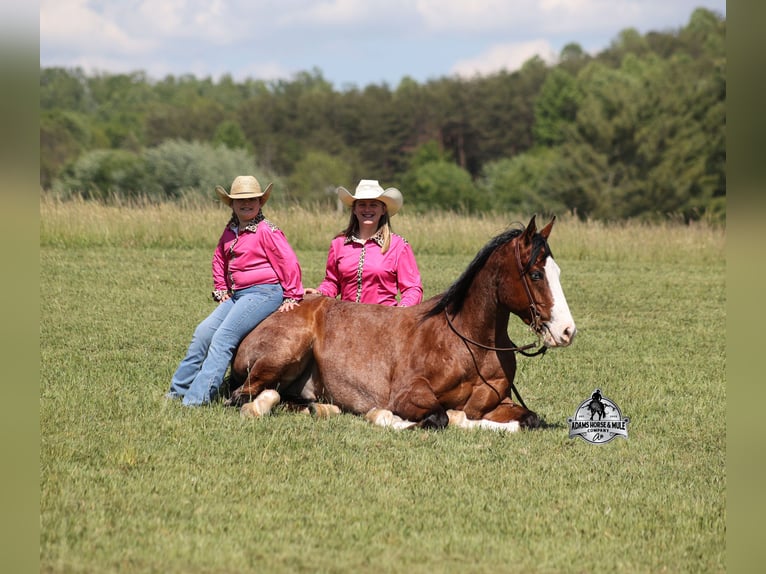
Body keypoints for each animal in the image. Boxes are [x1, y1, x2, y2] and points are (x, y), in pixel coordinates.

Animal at [227, 215, 576, 431]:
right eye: (536, 274)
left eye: (557, 272)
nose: (567, 331)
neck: (469, 343)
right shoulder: (409, 397)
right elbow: (439, 417)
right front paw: (383, 417)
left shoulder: (494, 404)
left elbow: (528, 419)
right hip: (283, 354)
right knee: (242, 397)